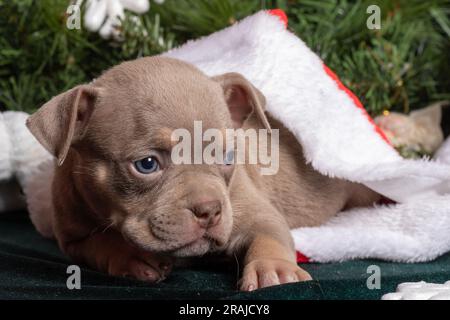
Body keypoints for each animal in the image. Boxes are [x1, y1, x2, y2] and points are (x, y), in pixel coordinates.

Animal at [27, 57, 380, 290]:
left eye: (227, 156)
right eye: (147, 164)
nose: (209, 210)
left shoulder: (253, 210)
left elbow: (269, 234)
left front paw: (276, 271)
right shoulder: (73, 236)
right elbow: (101, 243)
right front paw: (133, 257)